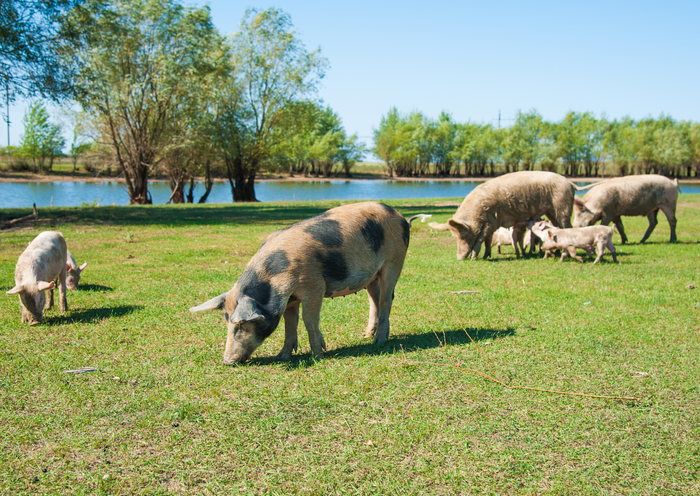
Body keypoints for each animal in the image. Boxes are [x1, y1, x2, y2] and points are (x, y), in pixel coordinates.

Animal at [189, 202, 431, 364]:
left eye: (240, 325)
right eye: (227, 322)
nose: (227, 361)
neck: (274, 280)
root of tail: (402, 218)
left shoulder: (314, 286)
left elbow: (309, 320)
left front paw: (318, 355)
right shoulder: (290, 299)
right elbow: (290, 324)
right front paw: (283, 356)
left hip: (394, 260)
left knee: (386, 299)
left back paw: (378, 342)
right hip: (372, 275)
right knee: (375, 300)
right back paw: (366, 336)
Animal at [429, 171, 600, 260]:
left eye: (463, 235)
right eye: (454, 236)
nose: (459, 258)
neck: (477, 214)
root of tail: (570, 183)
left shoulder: (489, 223)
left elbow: (480, 240)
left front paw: (474, 258)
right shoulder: (492, 222)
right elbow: (488, 240)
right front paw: (486, 257)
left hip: (562, 206)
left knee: (566, 227)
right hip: (551, 210)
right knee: (557, 227)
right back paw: (556, 253)